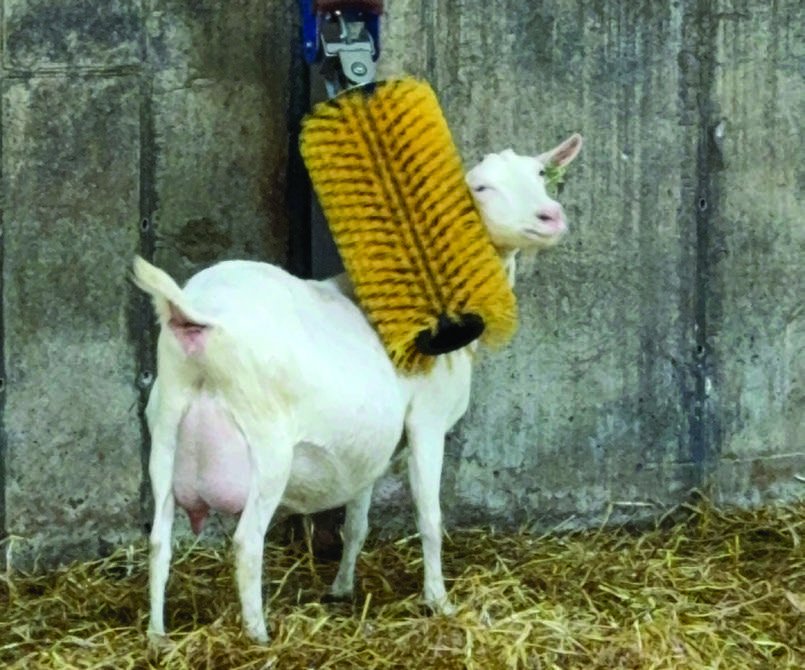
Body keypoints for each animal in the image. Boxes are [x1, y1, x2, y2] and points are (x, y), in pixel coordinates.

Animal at [134, 133, 582, 643]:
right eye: (481, 188)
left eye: (541, 175)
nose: (550, 217)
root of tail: (195, 317)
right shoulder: (426, 422)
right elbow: (429, 518)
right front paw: (439, 601)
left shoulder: (372, 444)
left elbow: (358, 522)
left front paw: (343, 588)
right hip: (266, 446)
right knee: (247, 543)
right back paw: (259, 636)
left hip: (164, 430)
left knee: (158, 541)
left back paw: (157, 636)